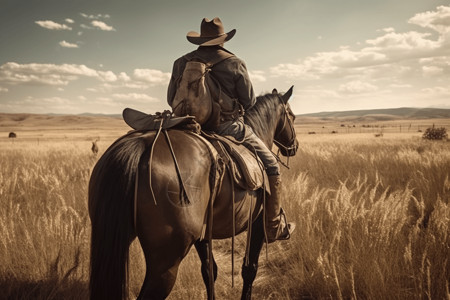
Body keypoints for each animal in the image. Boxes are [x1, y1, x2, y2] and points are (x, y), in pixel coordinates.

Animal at [88, 85, 298, 298]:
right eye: (292, 116)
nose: (294, 147)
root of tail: (141, 145)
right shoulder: (257, 224)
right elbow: (249, 270)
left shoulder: (203, 233)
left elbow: (209, 271)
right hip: (165, 264)